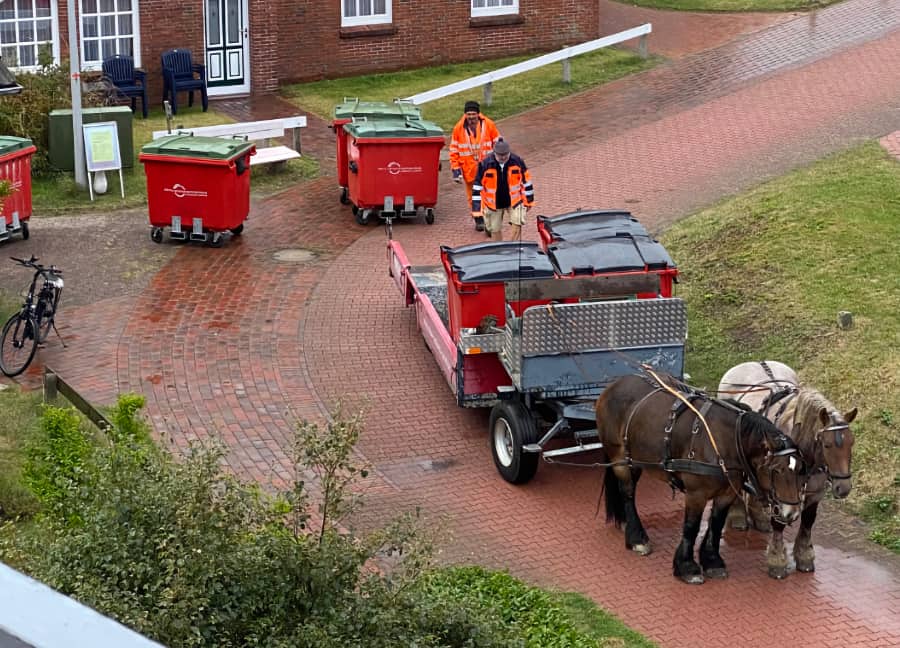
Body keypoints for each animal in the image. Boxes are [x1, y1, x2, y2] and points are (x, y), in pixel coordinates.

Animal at [596, 372, 804, 584]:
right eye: (776, 470)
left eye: (800, 469)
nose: (792, 514)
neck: (724, 442)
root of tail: (615, 384)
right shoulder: (696, 494)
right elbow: (691, 527)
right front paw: (687, 566)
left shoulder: (727, 494)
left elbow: (716, 524)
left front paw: (712, 561)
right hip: (619, 458)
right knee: (627, 494)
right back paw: (637, 538)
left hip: (635, 460)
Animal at [716, 362, 856, 580]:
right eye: (827, 445)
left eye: (852, 442)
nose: (844, 487)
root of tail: (751, 362)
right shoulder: (782, 490)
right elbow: (779, 523)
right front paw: (777, 560)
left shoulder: (814, 492)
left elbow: (808, 521)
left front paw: (804, 555)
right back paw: (738, 514)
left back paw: (758, 516)